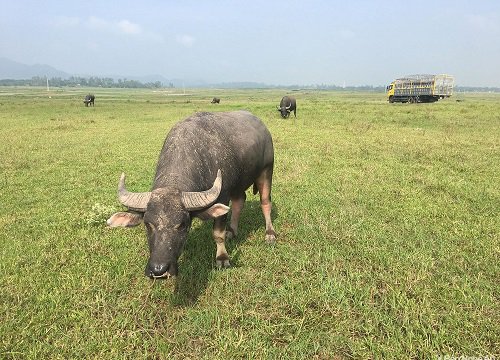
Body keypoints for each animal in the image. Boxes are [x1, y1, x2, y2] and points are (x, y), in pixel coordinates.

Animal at [106, 109, 278, 278]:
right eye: (148, 224)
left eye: (182, 225)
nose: (159, 270)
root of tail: (263, 127)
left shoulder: (223, 196)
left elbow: (218, 233)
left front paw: (222, 258)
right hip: (239, 183)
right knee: (239, 201)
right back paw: (232, 231)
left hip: (266, 171)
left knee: (265, 202)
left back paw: (270, 234)